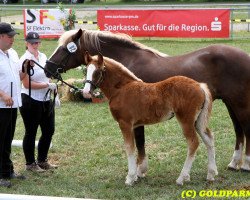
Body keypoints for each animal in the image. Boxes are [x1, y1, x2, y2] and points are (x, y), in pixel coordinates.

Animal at [44, 28, 250, 172]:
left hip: (239, 102)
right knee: (238, 130)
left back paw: (245, 164)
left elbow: (140, 141)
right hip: (230, 102)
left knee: (245, 128)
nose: (47, 69)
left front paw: (140, 170)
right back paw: (233, 163)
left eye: (65, 49)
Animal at [82, 52, 217, 186]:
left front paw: (130, 178)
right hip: (198, 121)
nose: (86, 92)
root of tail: (199, 85)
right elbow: (138, 146)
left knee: (193, 143)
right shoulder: (136, 125)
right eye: (86, 70)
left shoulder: (125, 123)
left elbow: (129, 148)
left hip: (186, 120)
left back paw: (181, 178)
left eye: (98, 71)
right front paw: (137, 175)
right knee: (208, 138)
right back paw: (211, 174)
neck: (121, 89)